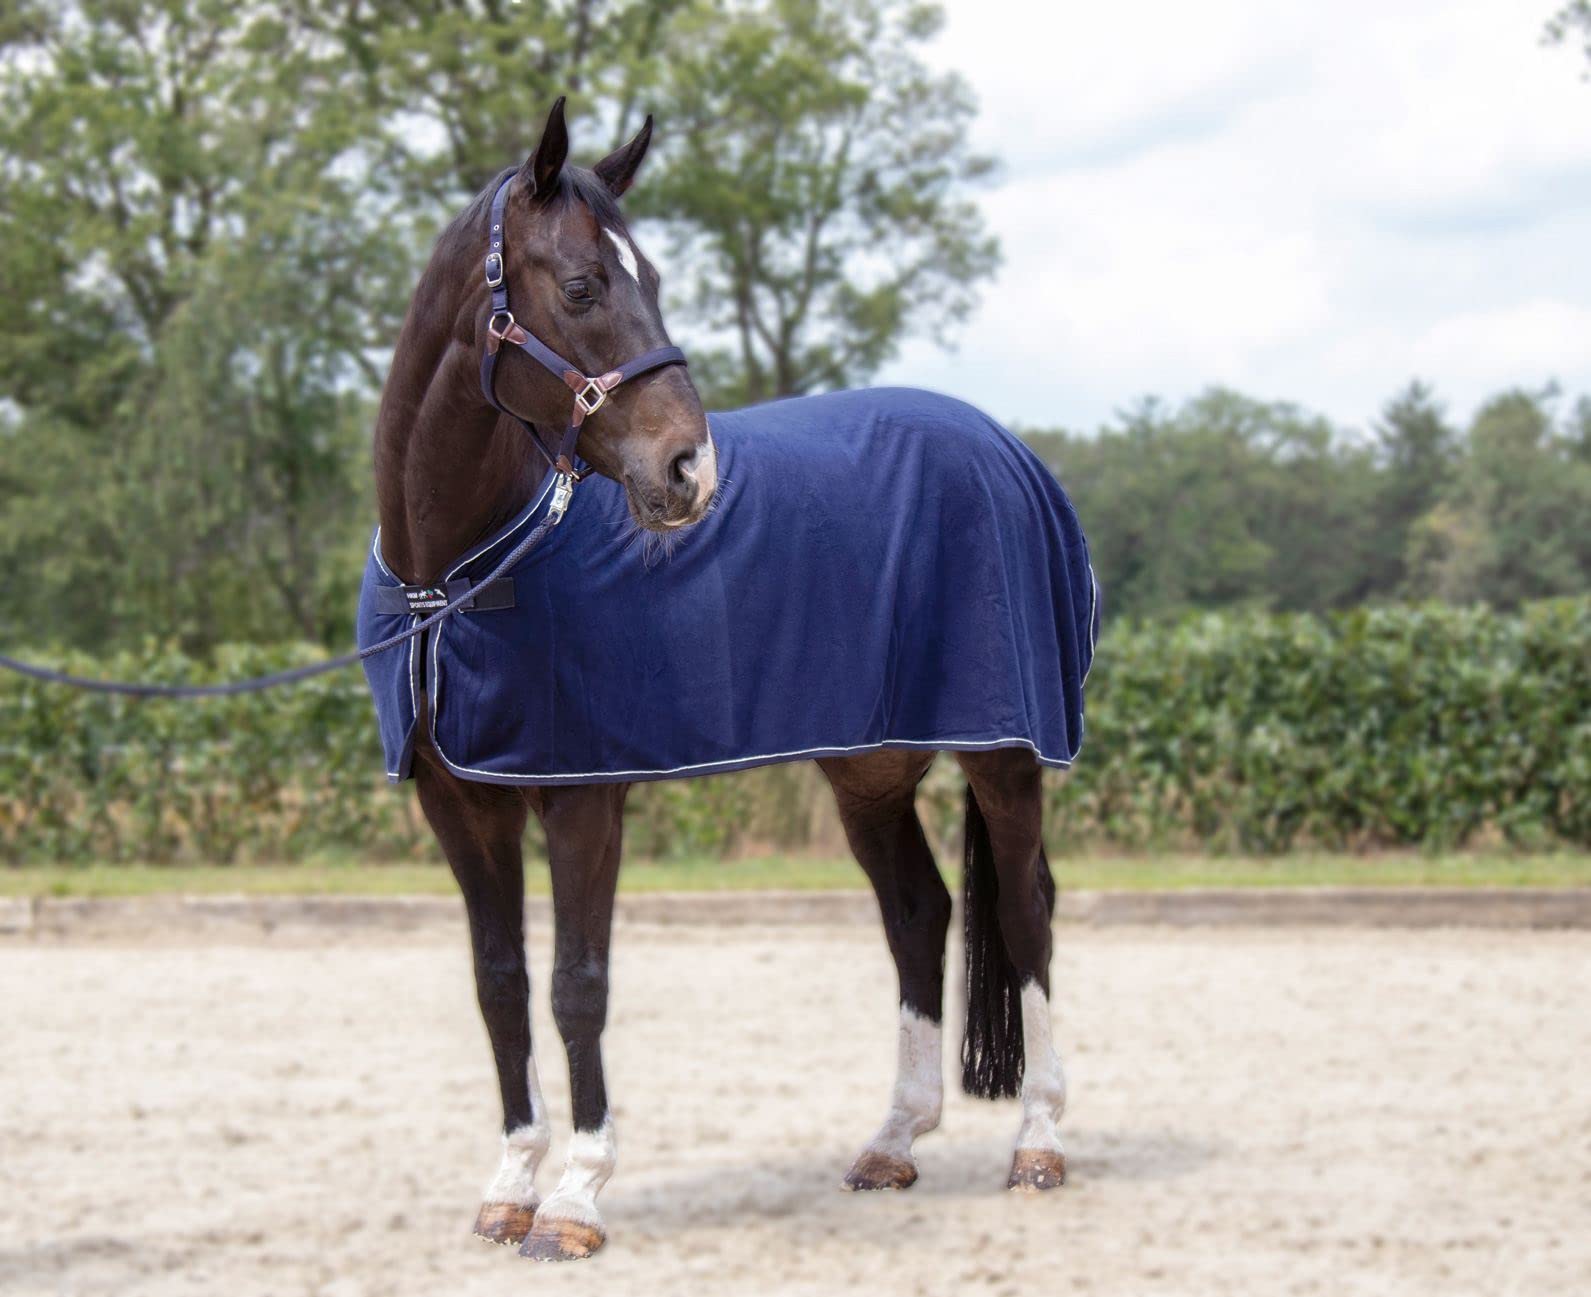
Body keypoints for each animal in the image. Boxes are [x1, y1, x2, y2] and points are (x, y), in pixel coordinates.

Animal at [364, 98, 1090, 1262]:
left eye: (653, 276)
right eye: (583, 286)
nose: (688, 471)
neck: (464, 575)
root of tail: (1002, 446)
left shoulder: (583, 800)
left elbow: (577, 986)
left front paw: (575, 1199)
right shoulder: (460, 805)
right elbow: (500, 985)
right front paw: (510, 1185)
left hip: (1004, 753)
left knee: (1024, 909)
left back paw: (1038, 1143)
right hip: (870, 769)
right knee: (919, 912)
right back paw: (893, 1141)